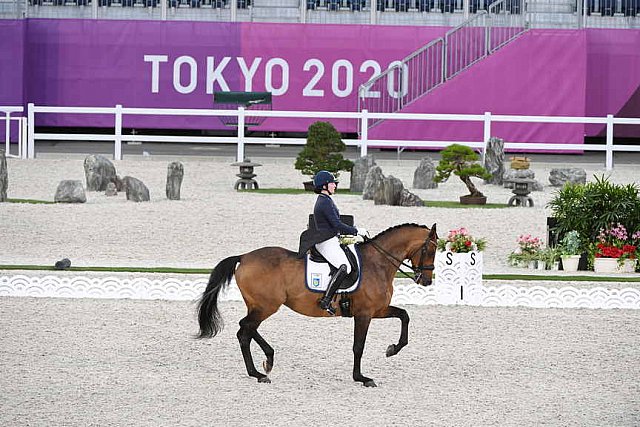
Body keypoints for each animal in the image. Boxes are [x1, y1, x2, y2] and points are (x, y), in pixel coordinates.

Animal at [198, 224, 438, 388]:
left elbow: (404, 315)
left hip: (260, 305)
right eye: (430, 250)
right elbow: (358, 346)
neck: (377, 263)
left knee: (246, 328)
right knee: (244, 331)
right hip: (266, 306)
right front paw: (361, 378)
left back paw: (267, 361)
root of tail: (244, 257)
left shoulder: (377, 311)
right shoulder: (364, 314)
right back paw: (257, 373)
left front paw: (392, 349)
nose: (426, 281)